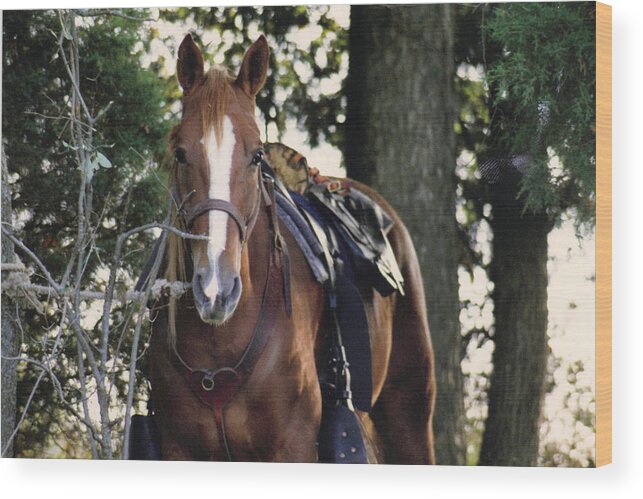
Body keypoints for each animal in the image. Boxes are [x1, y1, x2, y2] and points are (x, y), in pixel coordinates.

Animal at [148, 34, 436, 464]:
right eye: (181, 153)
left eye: (256, 155)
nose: (216, 289)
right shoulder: (178, 449)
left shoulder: (293, 445)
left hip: (410, 419)